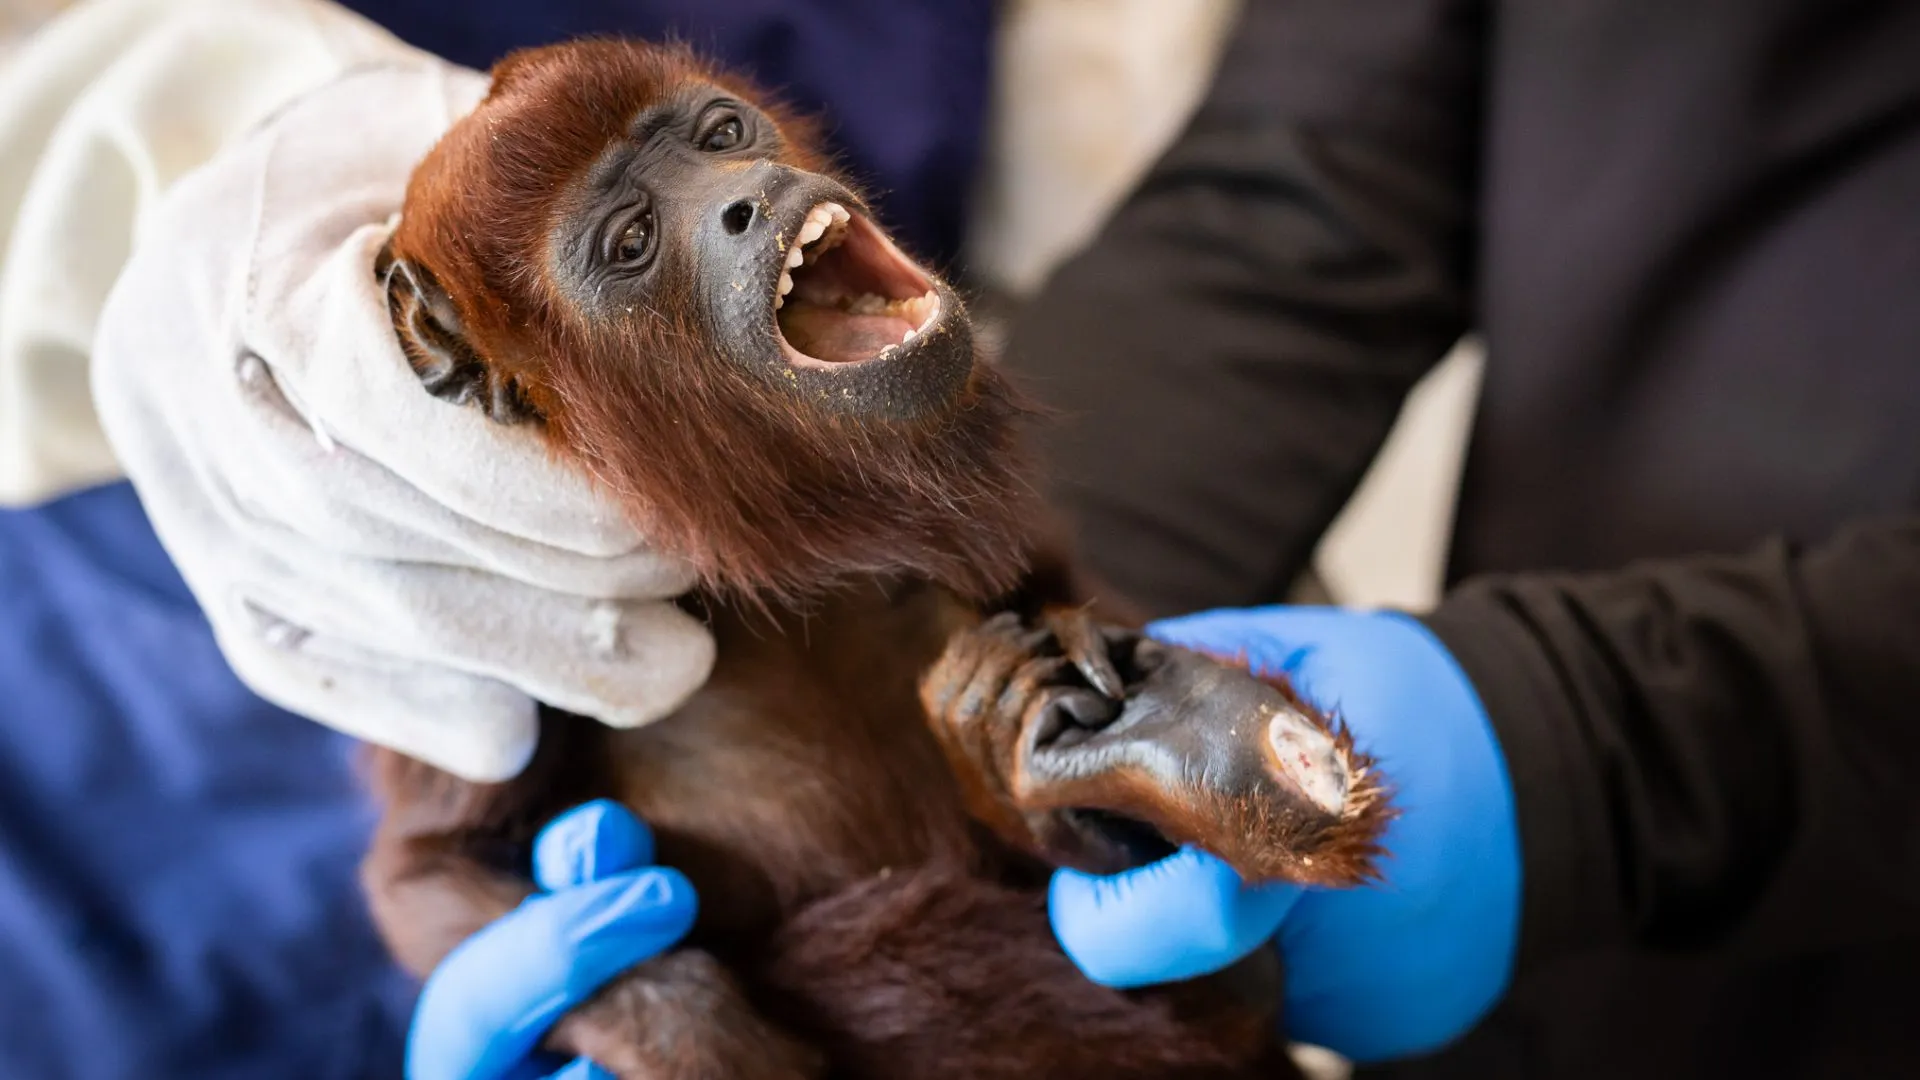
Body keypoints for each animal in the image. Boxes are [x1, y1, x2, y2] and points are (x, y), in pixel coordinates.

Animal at [360, 38, 1393, 1080]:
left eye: (721, 134)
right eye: (631, 242)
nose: (748, 196)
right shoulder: (498, 629)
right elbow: (433, 872)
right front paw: (714, 1043)